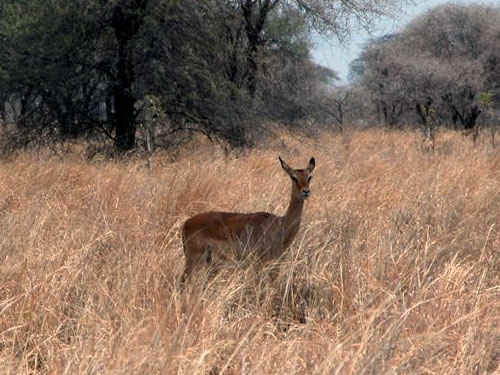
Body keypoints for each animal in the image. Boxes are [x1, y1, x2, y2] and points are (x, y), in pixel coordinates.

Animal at [181, 156, 316, 282]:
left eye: (309, 177)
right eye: (294, 177)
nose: (305, 191)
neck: (280, 224)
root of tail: (186, 224)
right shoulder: (259, 262)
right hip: (194, 258)